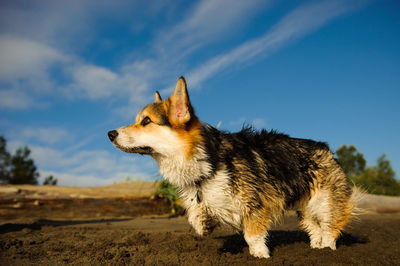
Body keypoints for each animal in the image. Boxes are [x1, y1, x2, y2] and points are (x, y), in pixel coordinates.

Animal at [108, 76, 358, 258]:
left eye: (146, 121)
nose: (110, 134)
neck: (208, 161)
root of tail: (326, 149)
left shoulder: (254, 204)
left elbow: (252, 236)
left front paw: (260, 256)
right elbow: (196, 217)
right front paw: (203, 223)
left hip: (324, 202)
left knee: (330, 228)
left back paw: (327, 251)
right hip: (304, 207)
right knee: (314, 229)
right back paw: (316, 250)